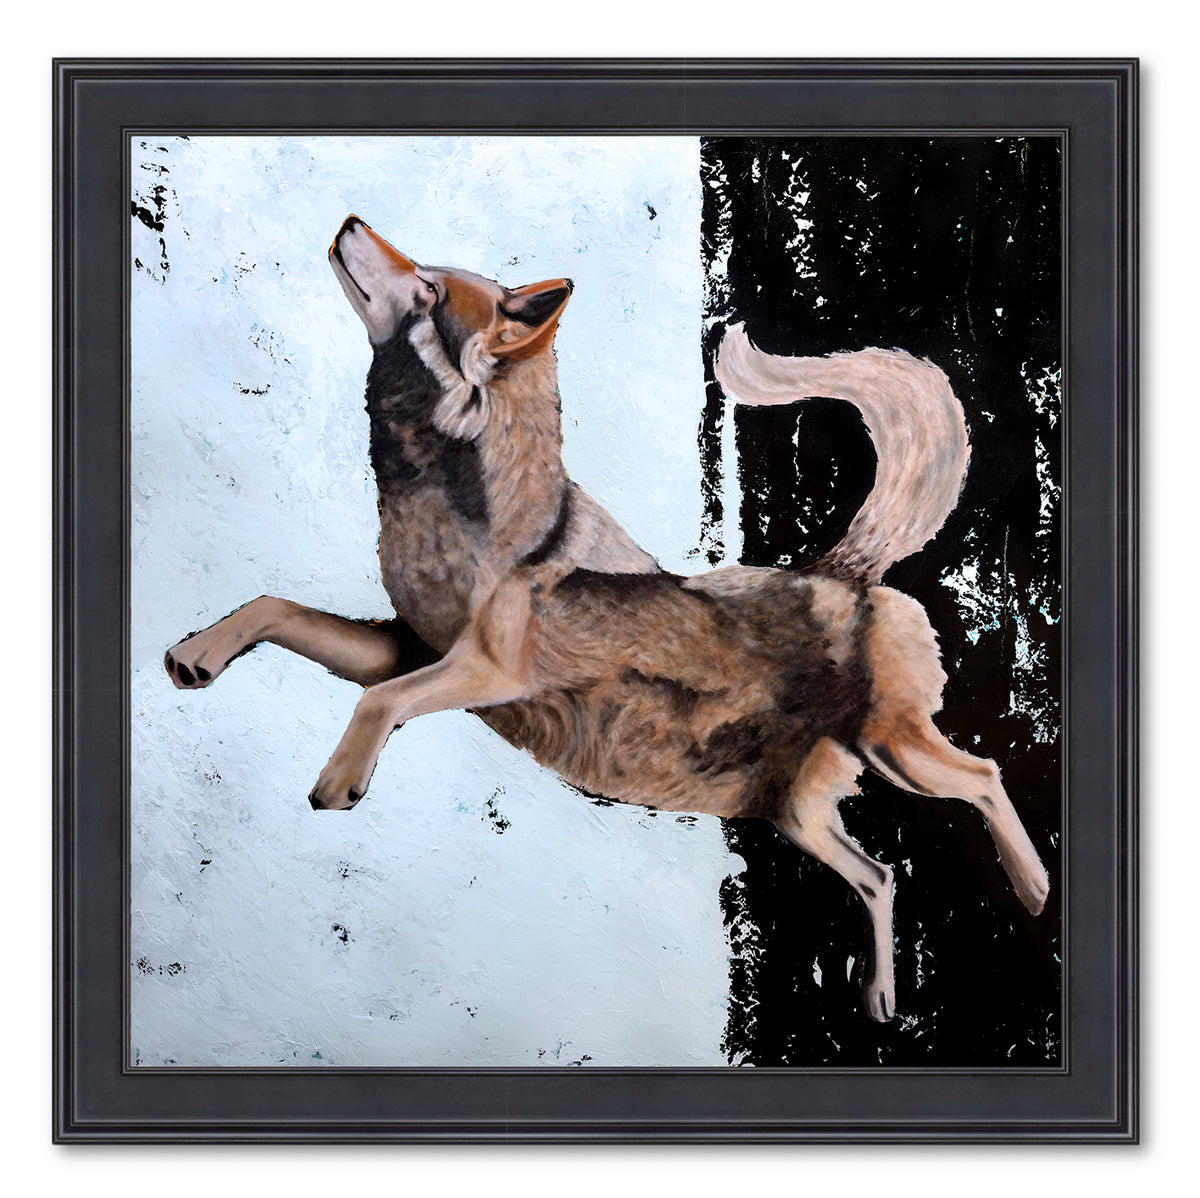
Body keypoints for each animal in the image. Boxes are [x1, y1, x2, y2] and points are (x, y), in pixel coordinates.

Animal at [165, 215, 1050, 1021]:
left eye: (428, 286)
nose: (349, 220)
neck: (456, 515)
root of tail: (842, 574)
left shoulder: (483, 671)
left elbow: (375, 704)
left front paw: (339, 781)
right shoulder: (400, 650)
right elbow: (273, 606)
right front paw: (196, 654)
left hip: (897, 754)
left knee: (984, 775)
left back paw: (1036, 890)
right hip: (798, 817)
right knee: (881, 875)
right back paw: (880, 997)